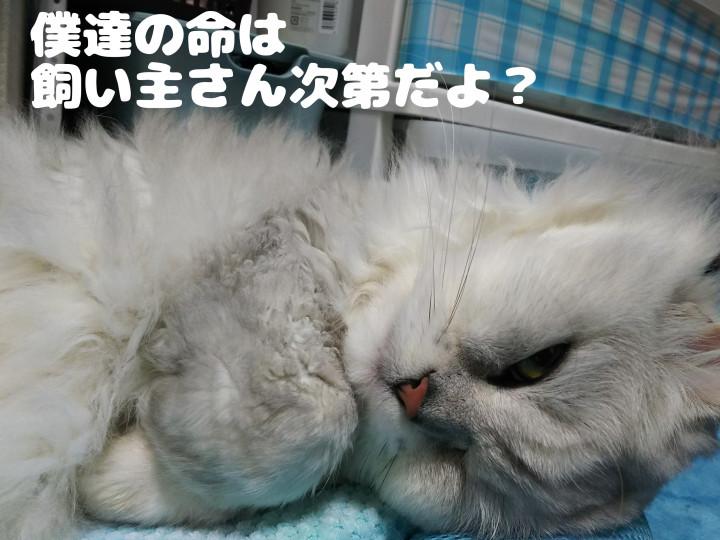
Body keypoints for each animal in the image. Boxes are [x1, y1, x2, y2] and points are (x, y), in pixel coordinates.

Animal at [0, 112, 719, 540]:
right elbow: (309, 421)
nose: (413, 398)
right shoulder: (275, 244)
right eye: (537, 365)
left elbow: (262, 473)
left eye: (462, 468)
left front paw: (108, 477)